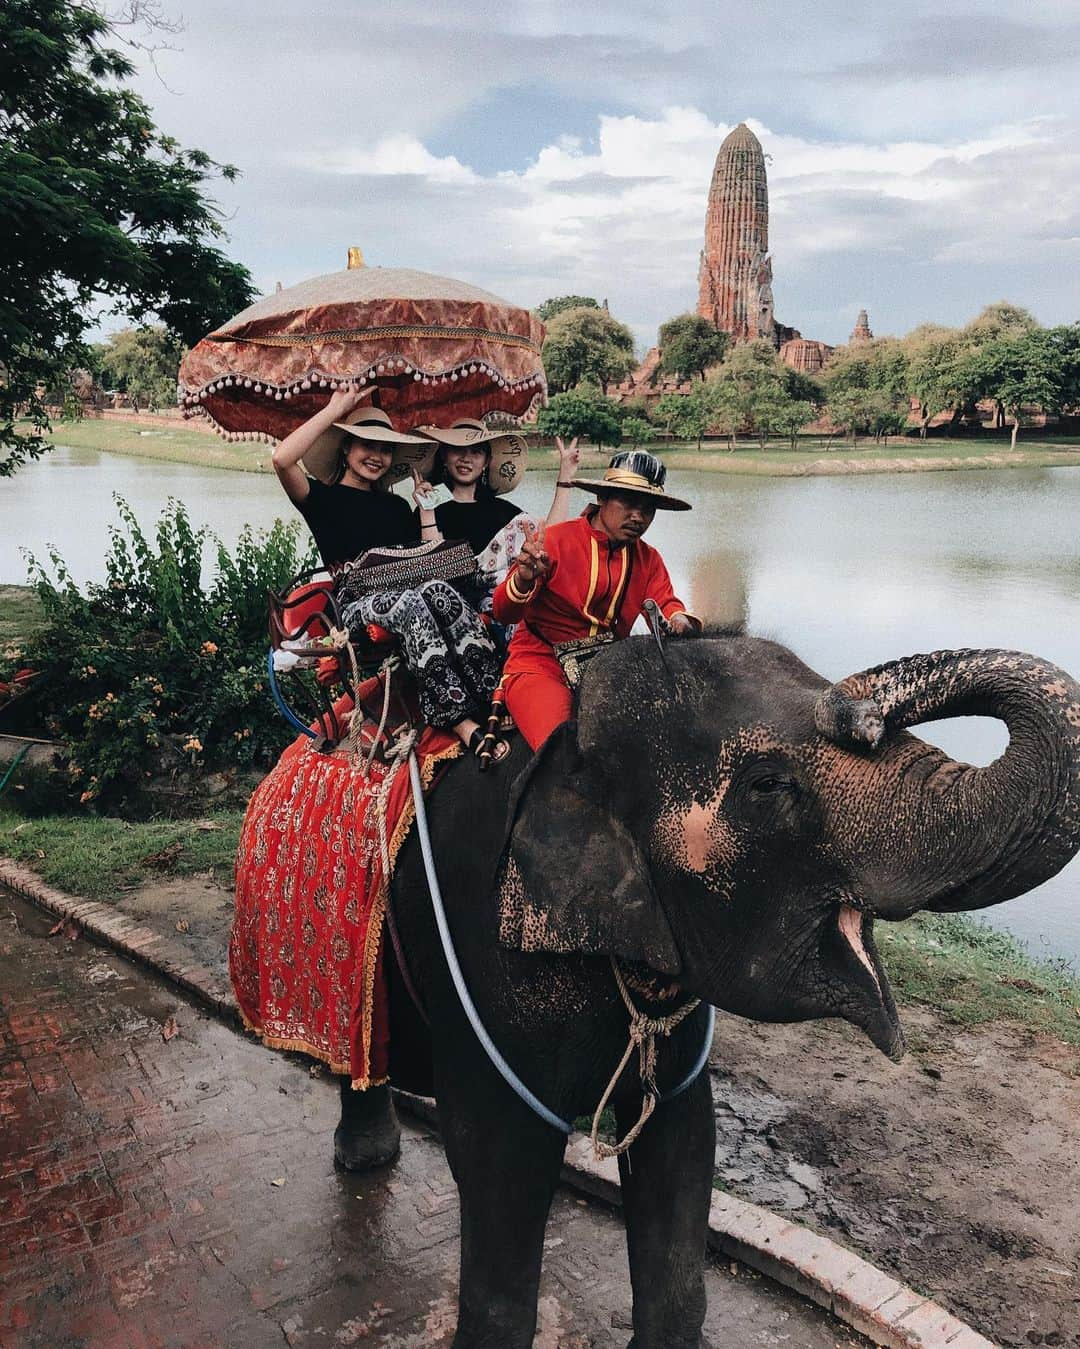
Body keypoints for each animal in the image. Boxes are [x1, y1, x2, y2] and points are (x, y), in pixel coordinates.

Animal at [334, 634, 1078, 1349]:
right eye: (769, 784)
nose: (857, 709)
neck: (570, 746)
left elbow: (683, 1143)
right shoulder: (474, 953)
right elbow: (499, 1161)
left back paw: (367, 1159)